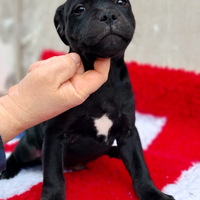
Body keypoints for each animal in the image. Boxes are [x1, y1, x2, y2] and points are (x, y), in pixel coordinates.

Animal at [1, 1, 175, 200]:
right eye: (80, 9)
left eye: (121, 2)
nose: (108, 15)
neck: (106, 80)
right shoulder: (55, 135)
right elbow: (53, 175)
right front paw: (52, 196)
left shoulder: (128, 132)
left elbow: (140, 167)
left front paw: (153, 194)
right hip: (30, 146)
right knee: (18, 155)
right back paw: (7, 170)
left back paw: (115, 152)